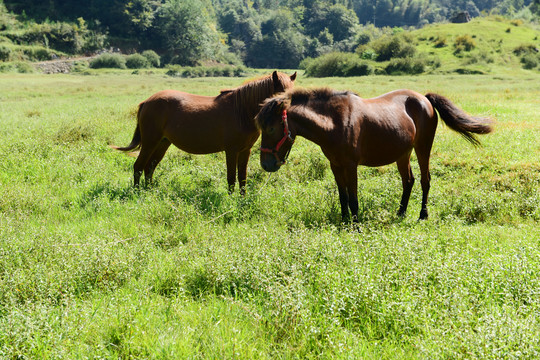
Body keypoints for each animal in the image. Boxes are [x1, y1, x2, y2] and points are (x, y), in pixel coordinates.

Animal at [109, 71, 296, 193]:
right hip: (150, 142)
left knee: (149, 167)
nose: (290, 116)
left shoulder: (245, 150)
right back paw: (137, 193)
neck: (241, 111)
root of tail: (147, 102)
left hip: (162, 143)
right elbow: (231, 178)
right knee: (139, 166)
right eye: (281, 95)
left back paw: (149, 192)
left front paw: (242, 200)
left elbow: (242, 178)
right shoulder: (231, 151)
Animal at [258, 88, 494, 221]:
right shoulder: (335, 165)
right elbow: (343, 196)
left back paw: (422, 215)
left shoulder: (351, 165)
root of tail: (424, 99)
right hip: (403, 153)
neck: (334, 122)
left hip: (422, 148)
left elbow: (353, 198)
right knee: (408, 181)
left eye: (271, 128)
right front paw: (344, 221)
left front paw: (356, 225)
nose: (266, 164)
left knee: (425, 180)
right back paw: (400, 213)